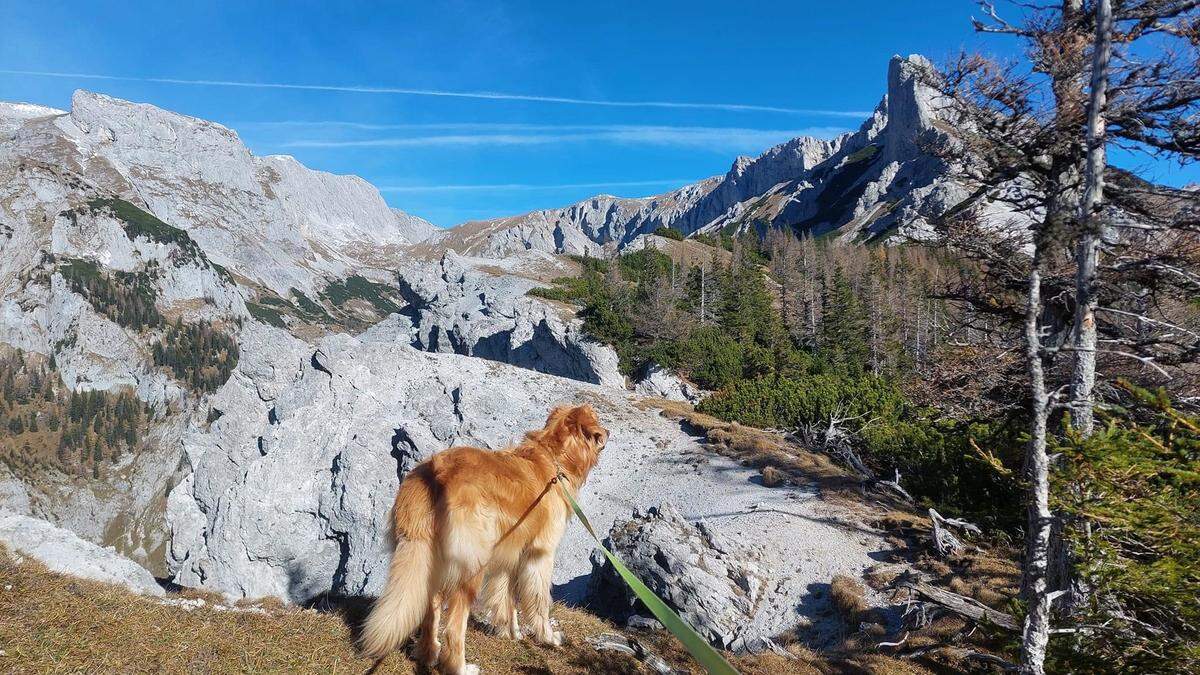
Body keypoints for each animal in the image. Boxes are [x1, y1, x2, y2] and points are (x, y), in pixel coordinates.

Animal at [352, 401, 600, 667]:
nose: (607, 434)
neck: (554, 459)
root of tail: (434, 475)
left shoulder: (509, 553)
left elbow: (506, 598)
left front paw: (511, 632)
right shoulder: (539, 554)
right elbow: (539, 601)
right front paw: (548, 637)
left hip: (434, 559)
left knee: (432, 607)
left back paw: (429, 653)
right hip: (471, 564)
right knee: (453, 627)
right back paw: (459, 666)